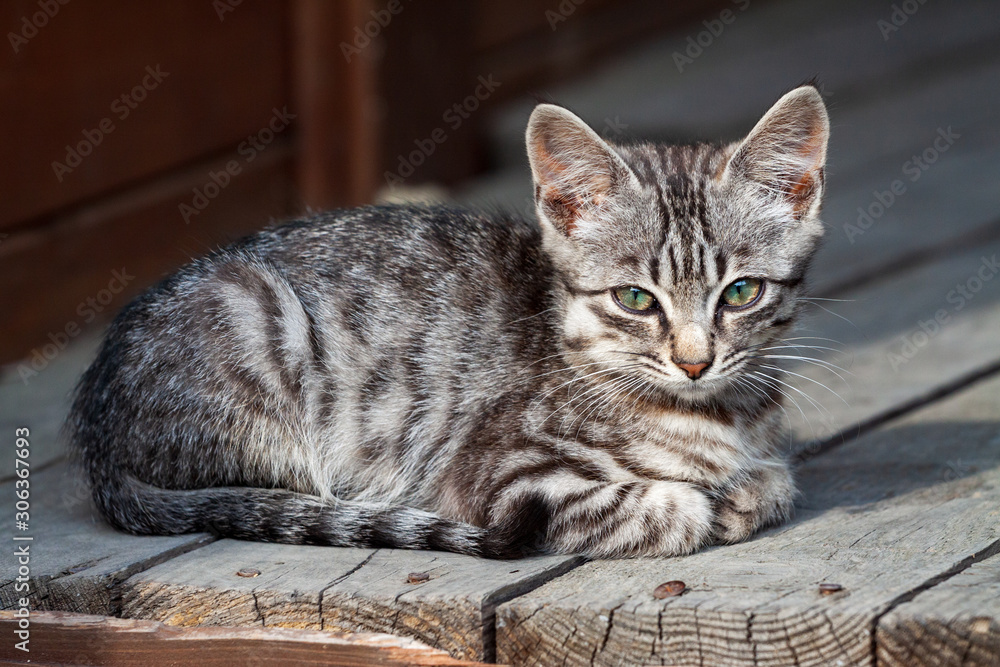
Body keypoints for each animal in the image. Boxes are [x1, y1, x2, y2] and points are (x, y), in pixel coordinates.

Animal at [70, 86, 832, 560]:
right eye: (635, 300)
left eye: (741, 292)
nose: (695, 361)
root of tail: (96, 436)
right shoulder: (499, 472)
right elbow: (671, 508)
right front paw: (706, 502)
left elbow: (777, 478)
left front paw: (749, 487)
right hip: (255, 320)